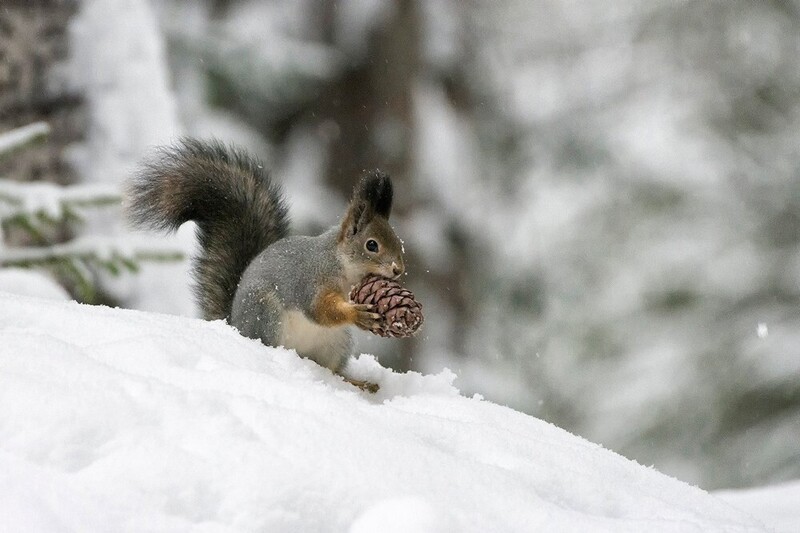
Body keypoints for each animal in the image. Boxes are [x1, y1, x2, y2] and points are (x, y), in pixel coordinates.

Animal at [129, 138, 410, 390]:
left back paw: (356, 382)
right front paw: (356, 313)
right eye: (371, 245)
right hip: (266, 314)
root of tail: (235, 325)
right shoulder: (311, 279)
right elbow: (319, 309)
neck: (343, 267)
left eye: (398, 241)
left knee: (332, 370)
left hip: (336, 343)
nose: (398, 270)